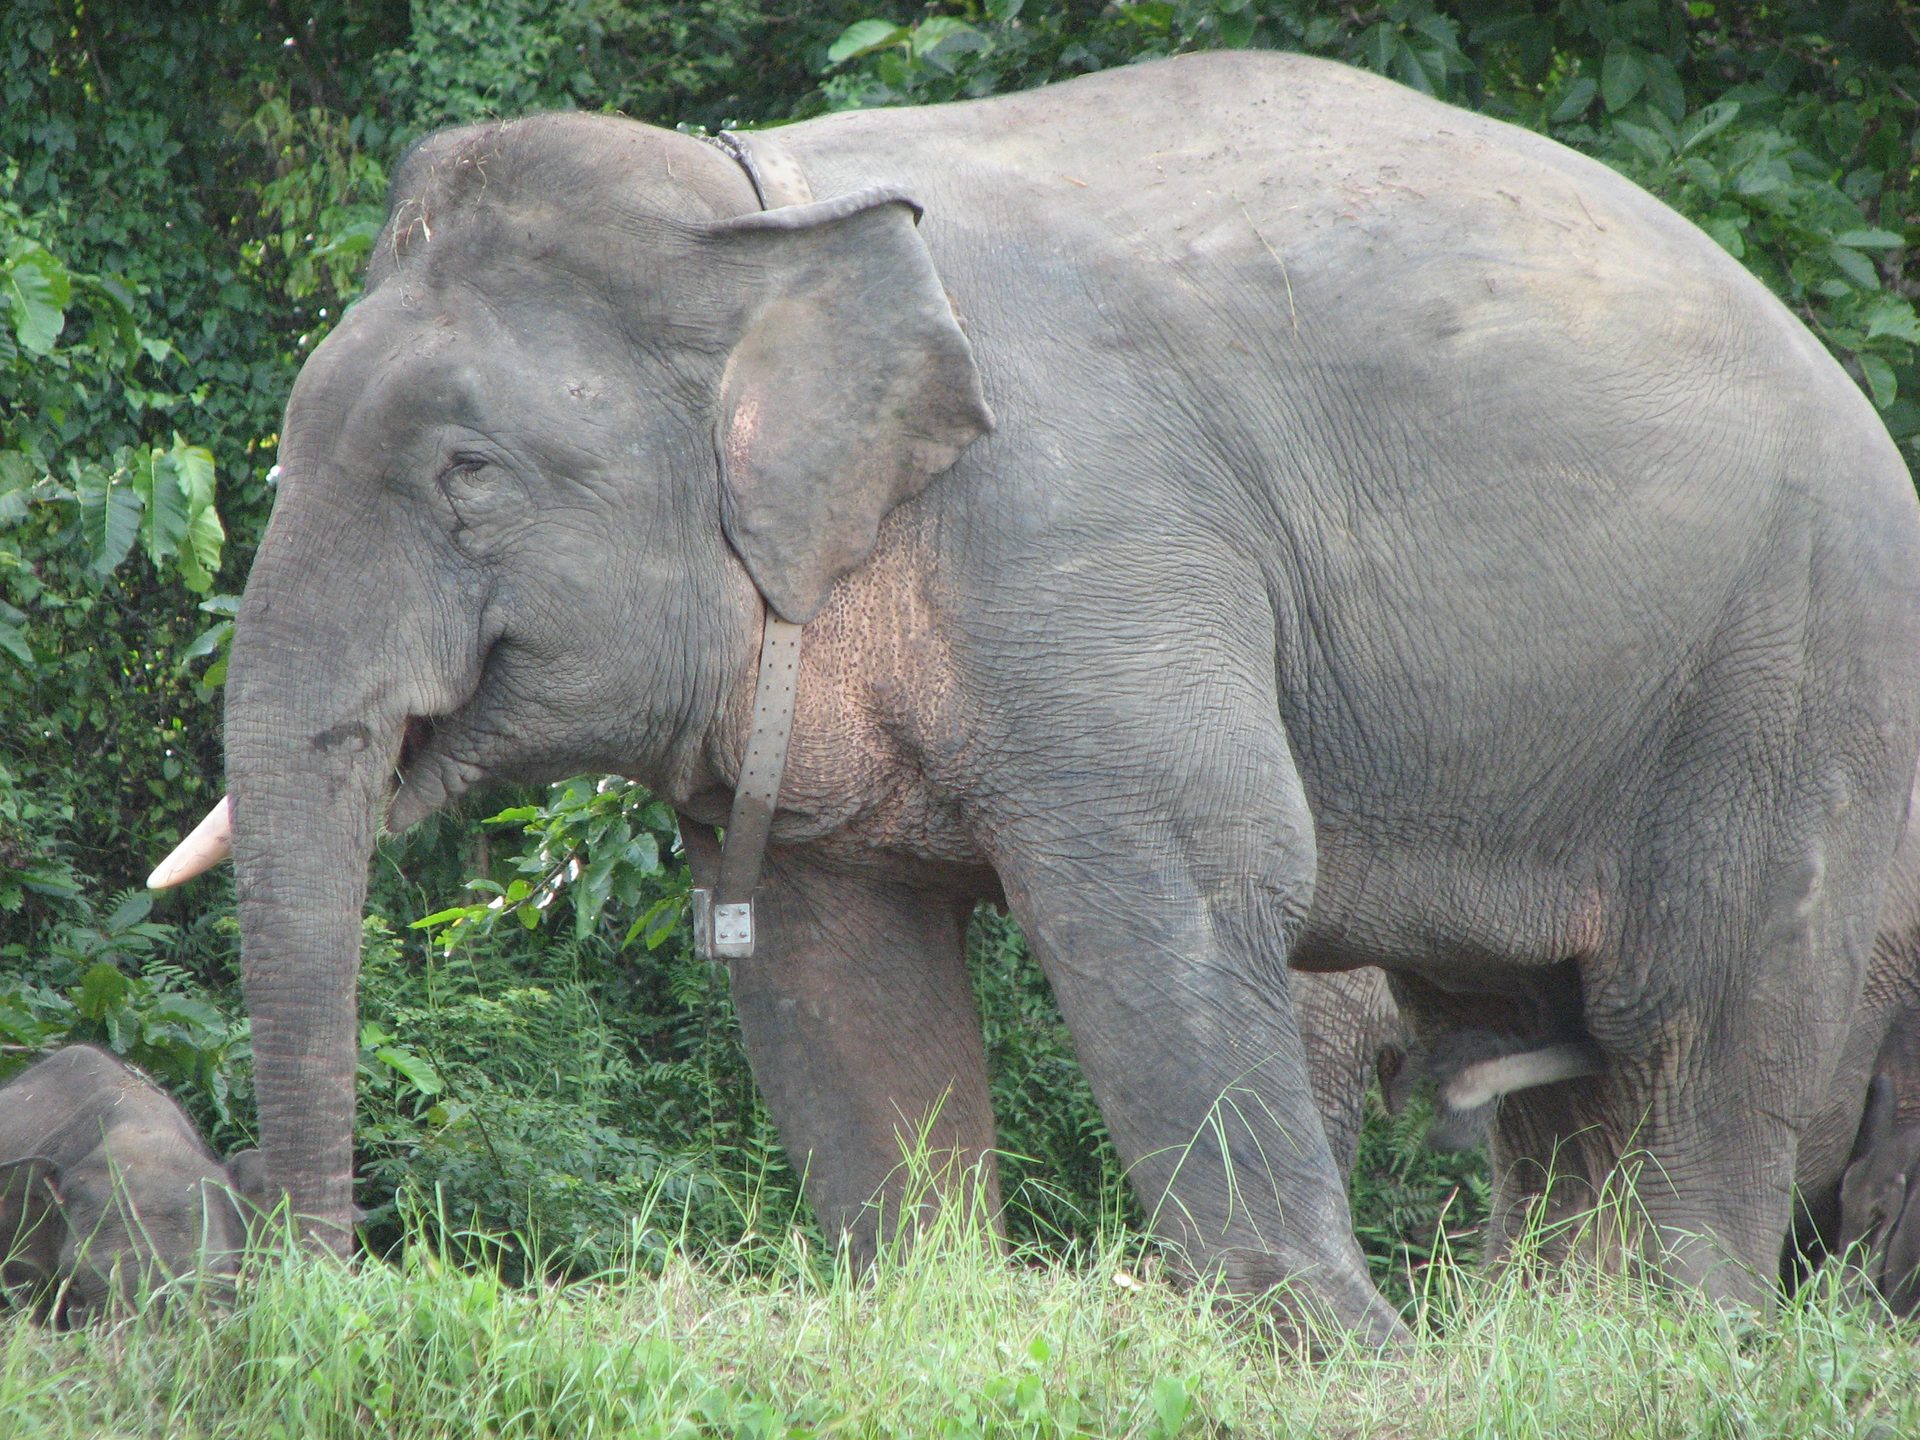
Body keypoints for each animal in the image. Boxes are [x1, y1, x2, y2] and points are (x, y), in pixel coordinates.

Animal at [149, 51, 1920, 1344]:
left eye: (467, 476)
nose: (318, 1291)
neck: (764, 214)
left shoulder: (1093, 537)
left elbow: (1187, 874)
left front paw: (1345, 1360)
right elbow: (833, 958)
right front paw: (934, 1317)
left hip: (1795, 683)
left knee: (1707, 1018)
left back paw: (1677, 1345)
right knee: (1558, 1060)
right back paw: (1557, 1347)